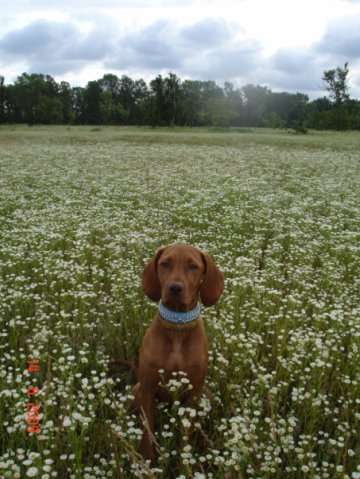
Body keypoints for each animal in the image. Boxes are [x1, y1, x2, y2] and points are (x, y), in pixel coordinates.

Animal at [133, 246, 222, 464]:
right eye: (165, 263)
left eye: (193, 266)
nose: (174, 288)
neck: (177, 327)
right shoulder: (147, 388)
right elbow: (147, 432)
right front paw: (148, 460)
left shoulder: (193, 392)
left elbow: (185, 434)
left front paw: (185, 462)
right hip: (136, 389)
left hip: (206, 394)